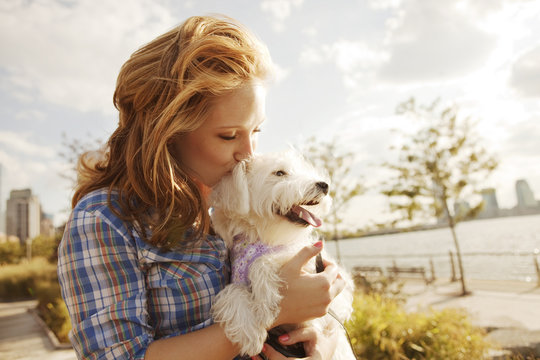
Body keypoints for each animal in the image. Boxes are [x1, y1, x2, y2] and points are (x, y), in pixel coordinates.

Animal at [210, 151, 354, 360]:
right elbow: (234, 290)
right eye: (279, 173)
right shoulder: (236, 276)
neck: (260, 235)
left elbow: (263, 259)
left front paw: (265, 301)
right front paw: (250, 334)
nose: (324, 185)